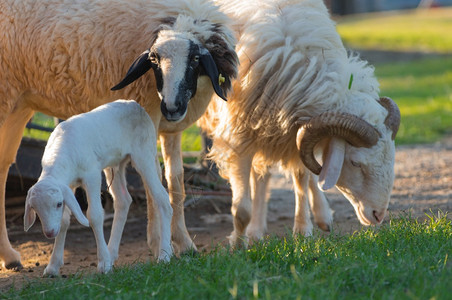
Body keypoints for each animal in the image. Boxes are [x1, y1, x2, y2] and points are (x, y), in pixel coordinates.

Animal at [21, 99, 171, 276]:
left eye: (58, 204)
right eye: (35, 209)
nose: (49, 233)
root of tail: (134, 104)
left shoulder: (91, 175)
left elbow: (95, 216)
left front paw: (103, 264)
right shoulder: (68, 185)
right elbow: (64, 221)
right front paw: (52, 266)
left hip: (144, 152)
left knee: (162, 199)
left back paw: (164, 255)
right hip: (116, 163)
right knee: (123, 200)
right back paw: (112, 253)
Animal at [200, 0, 400, 246]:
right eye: (354, 163)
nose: (378, 215)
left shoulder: (295, 133)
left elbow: (302, 180)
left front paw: (303, 230)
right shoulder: (239, 138)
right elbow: (242, 208)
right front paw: (238, 244)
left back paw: (320, 216)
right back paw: (255, 230)